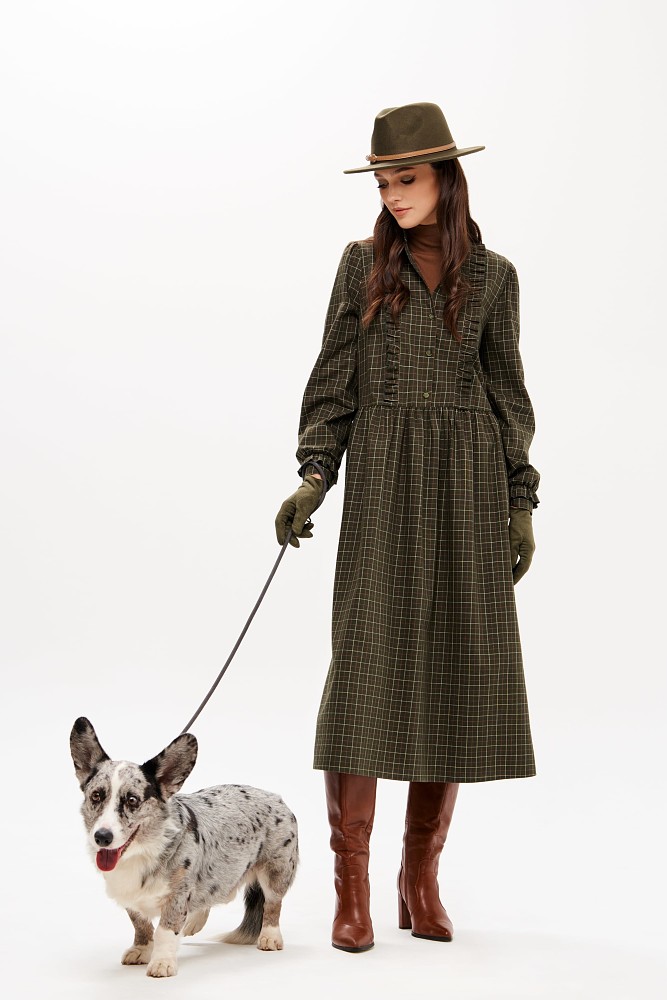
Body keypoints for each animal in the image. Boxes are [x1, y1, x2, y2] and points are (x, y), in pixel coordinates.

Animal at [70, 717, 298, 978]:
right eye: (96, 796)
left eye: (132, 800)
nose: (102, 837)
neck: (142, 851)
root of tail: (276, 798)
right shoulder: (132, 899)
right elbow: (141, 925)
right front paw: (141, 950)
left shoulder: (177, 896)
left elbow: (165, 930)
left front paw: (162, 963)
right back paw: (194, 922)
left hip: (275, 872)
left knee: (272, 904)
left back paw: (270, 937)